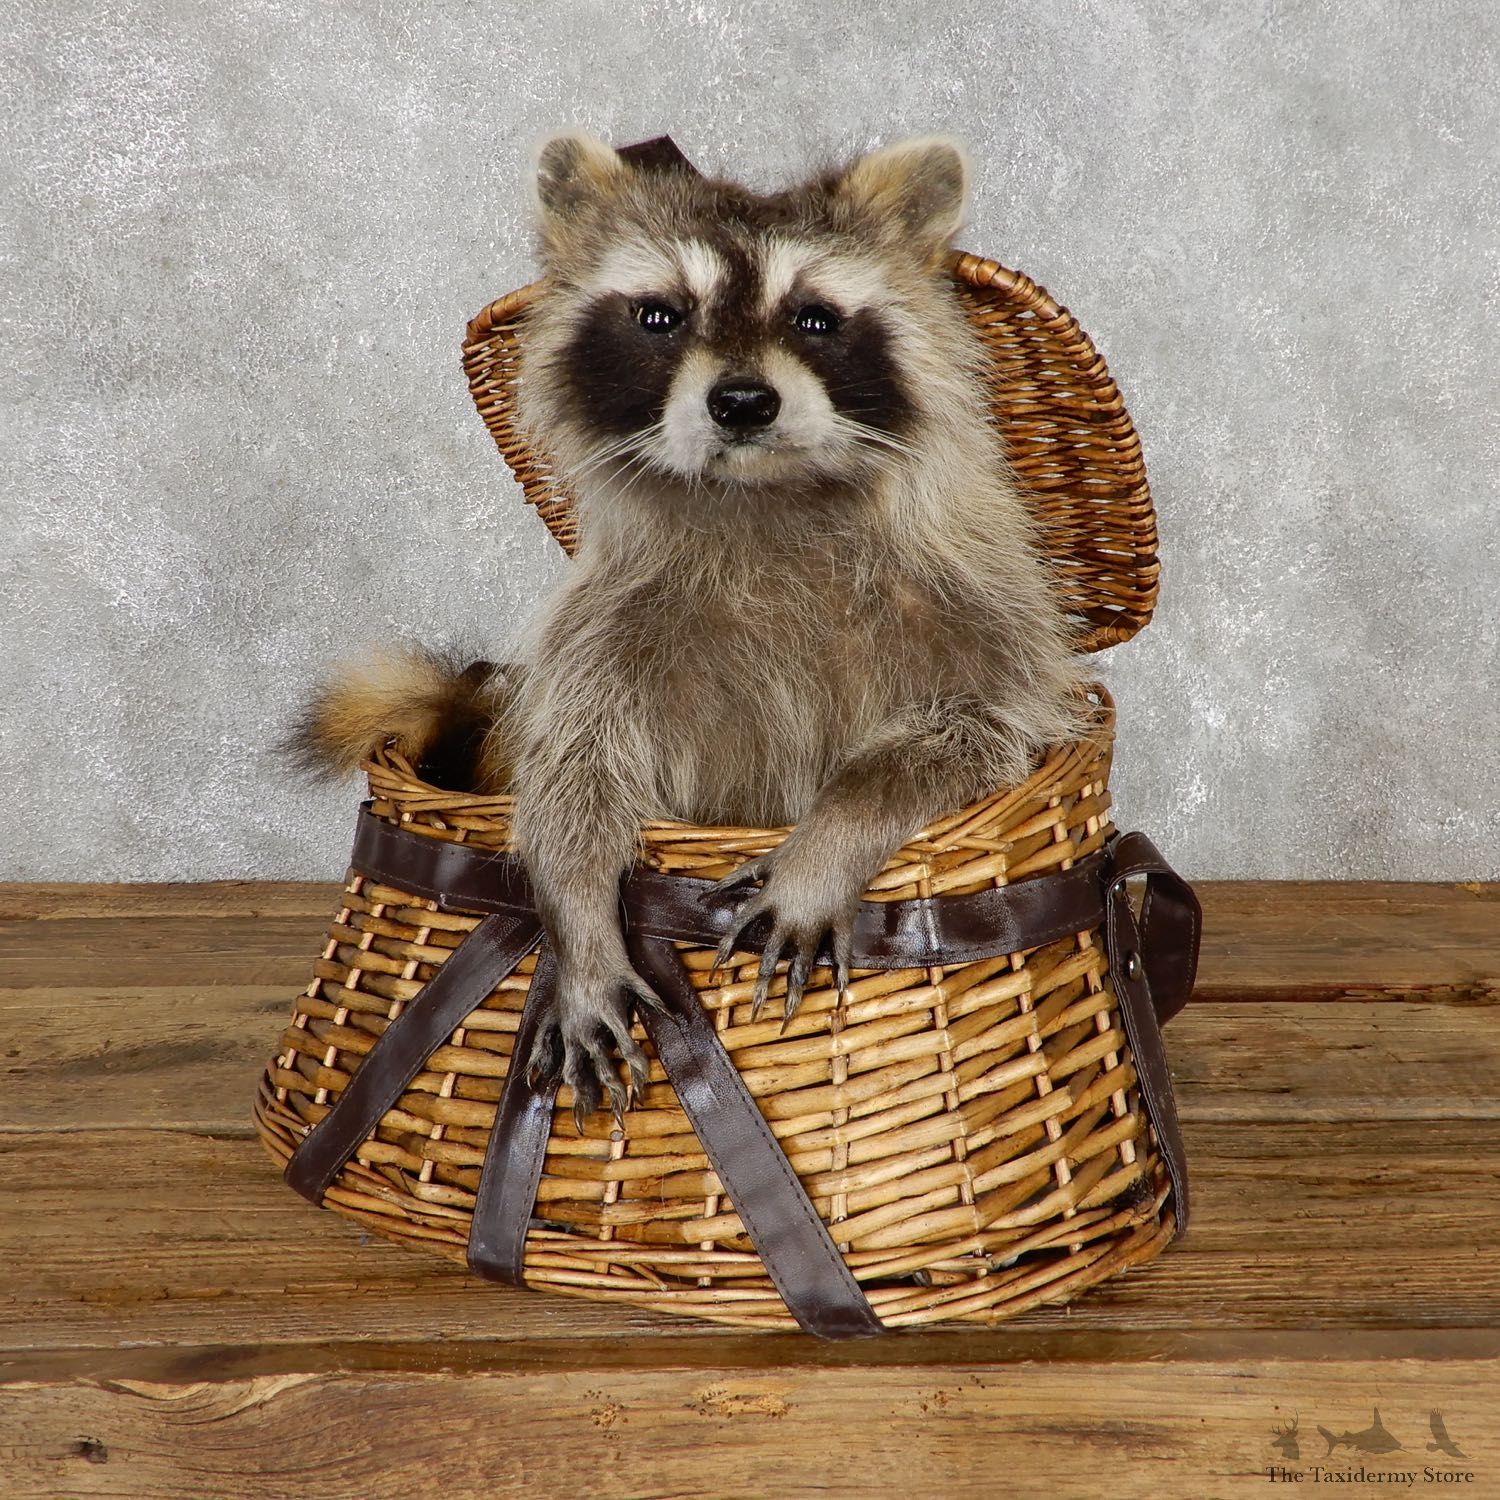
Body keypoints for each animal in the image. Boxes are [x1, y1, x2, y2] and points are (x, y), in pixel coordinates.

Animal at [296, 132, 1087, 1126]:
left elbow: (976, 732)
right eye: (660, 316)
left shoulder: (974, 605)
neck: (761, 500)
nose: (743, 402)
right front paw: (581, 923)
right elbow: (567, 778)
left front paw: (830, 837)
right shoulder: (600, 627)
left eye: (816, 319)